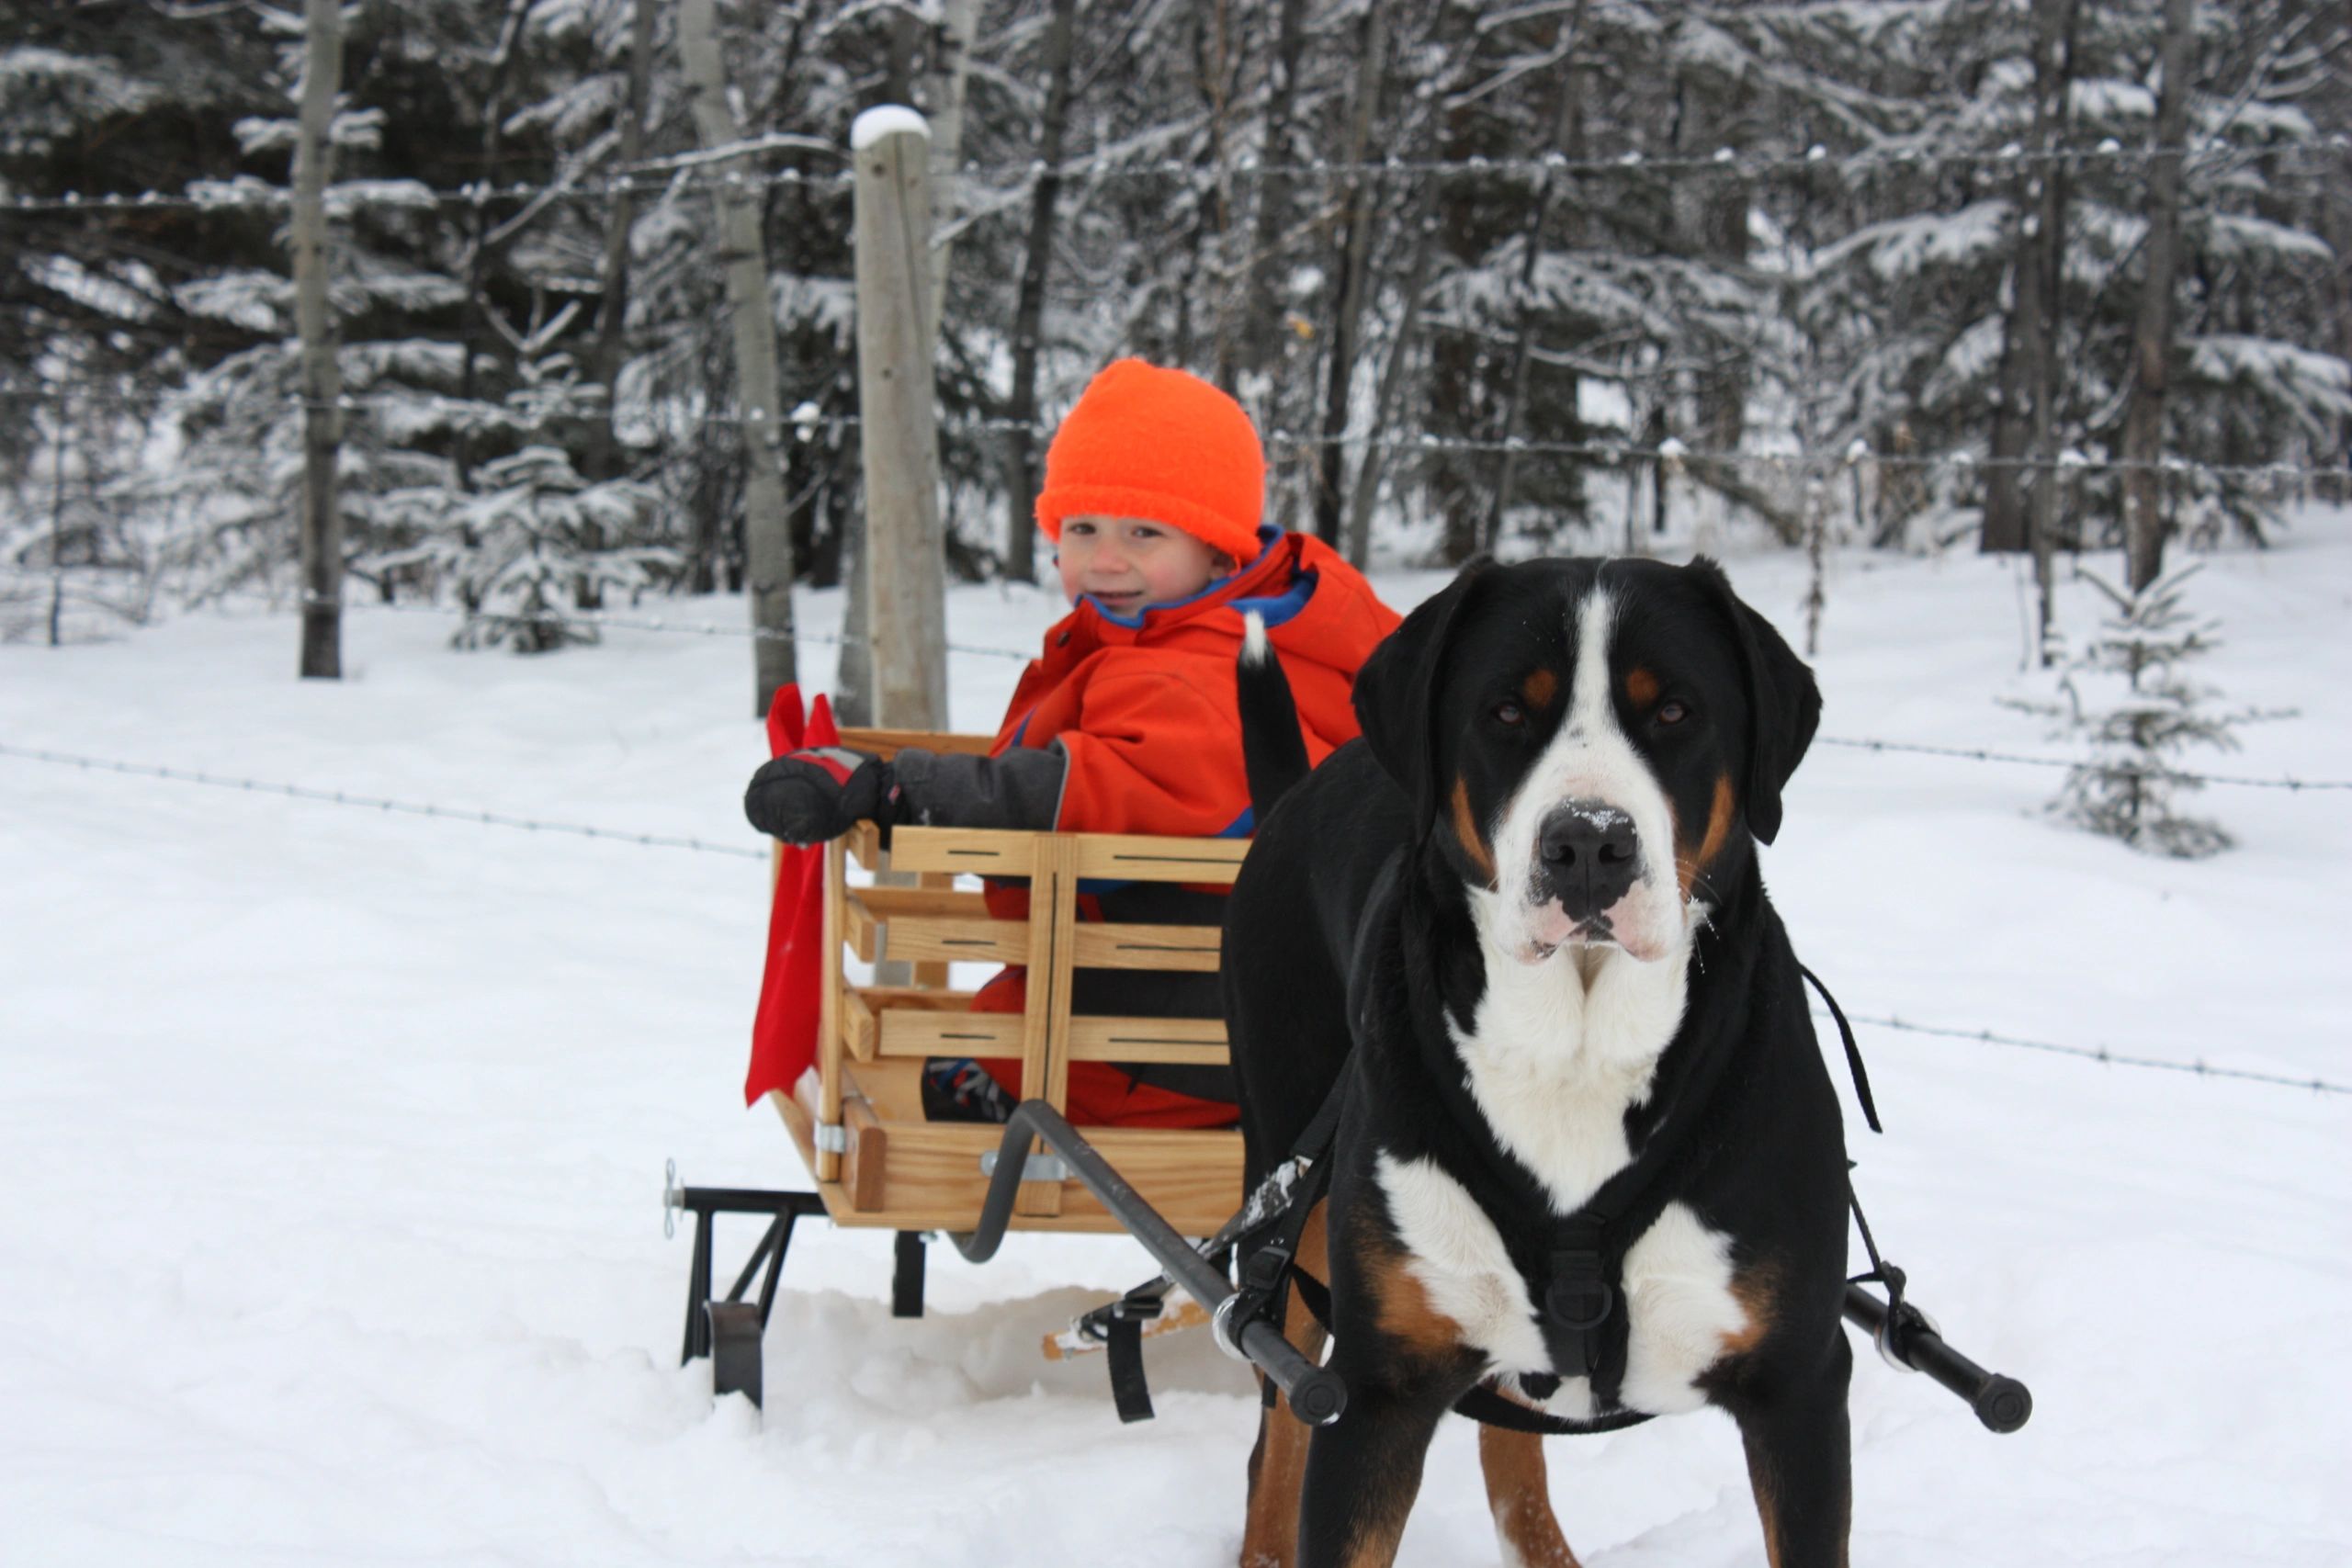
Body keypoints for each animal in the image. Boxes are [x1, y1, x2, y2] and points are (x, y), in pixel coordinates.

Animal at [1223, 561, 1844, 1568]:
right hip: (1287, 1208)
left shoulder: (1799, 1381)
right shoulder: (1380, 1387)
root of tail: (1296, 790)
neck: (1577, 1052)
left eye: (1675, 710)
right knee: (1276, 1430)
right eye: (1507, 711)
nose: (1589, 842)